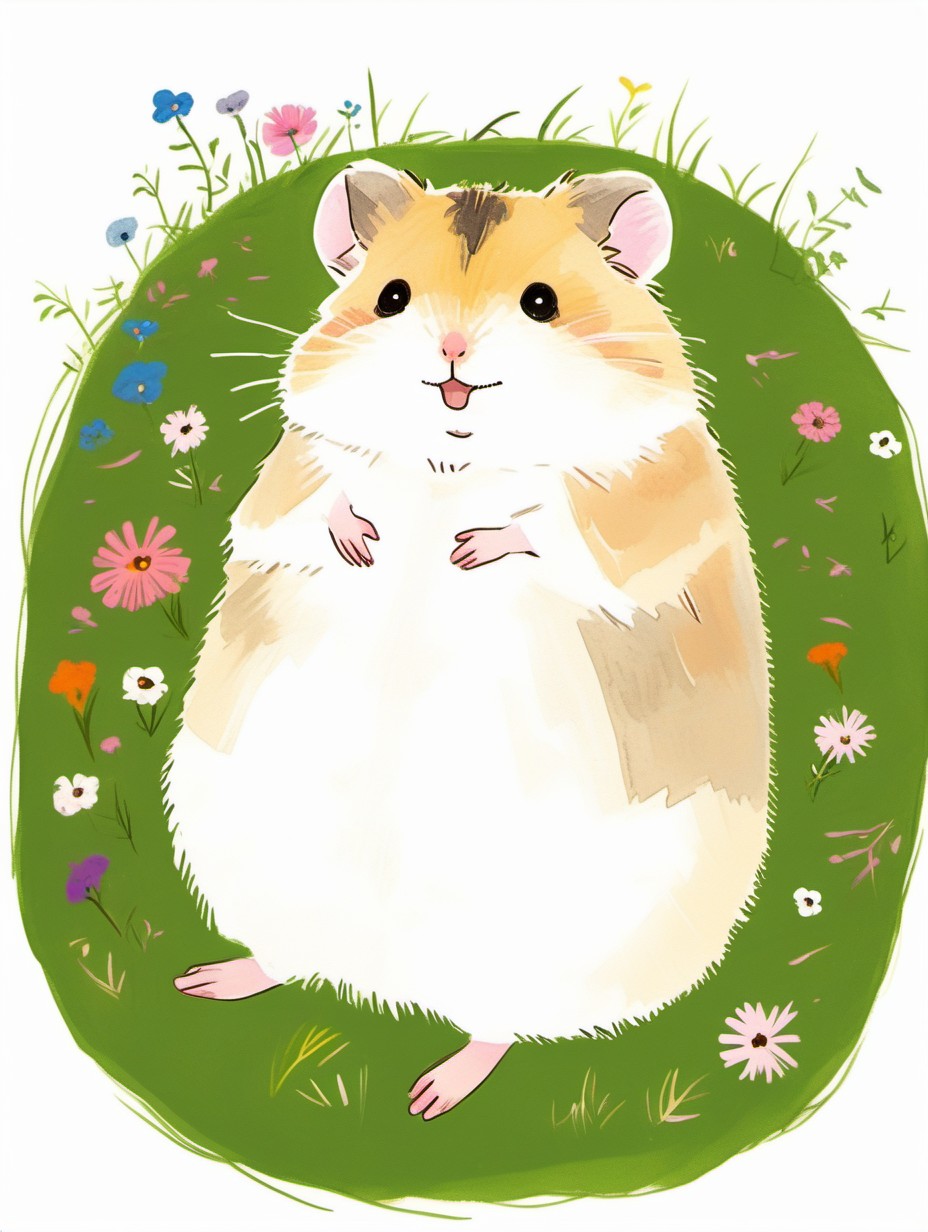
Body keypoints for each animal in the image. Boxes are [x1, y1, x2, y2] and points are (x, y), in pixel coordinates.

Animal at [165, 159, 770, 1121]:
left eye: (540, 303)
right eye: (391, 297)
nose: (450, 351)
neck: (451, 463)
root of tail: (380, 987)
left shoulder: (644, 506)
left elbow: (559, 528)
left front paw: (470, 548)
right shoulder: (298, 468)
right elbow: (308, 506)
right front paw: (363, 542)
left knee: (494, 1027)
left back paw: (433, 1093)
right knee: (283, 956)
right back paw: (210, 981)